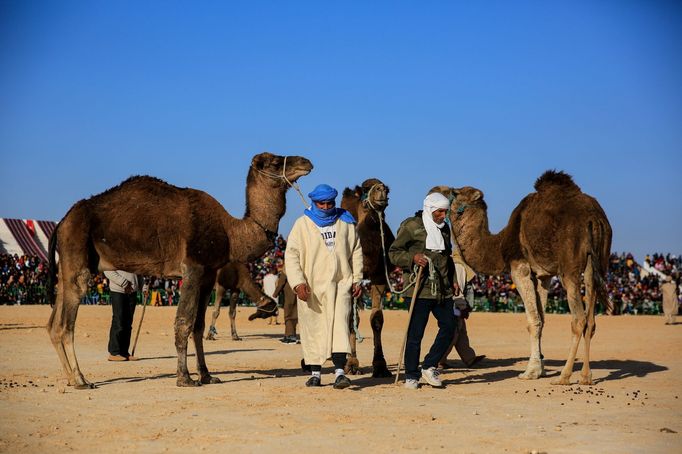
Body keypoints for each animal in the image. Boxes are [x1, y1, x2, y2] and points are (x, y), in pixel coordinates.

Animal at [46, 154, 312, 388]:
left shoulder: (208, 275)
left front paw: (206, 375)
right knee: (66, 323)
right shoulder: (192, 268)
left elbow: (199, 326)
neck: (229, 232)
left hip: (67, 264)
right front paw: (185, 378)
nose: (306, 162)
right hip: (77, 250)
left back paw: (70, 378)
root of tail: (62, 222)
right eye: (276, 162)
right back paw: (81, 380)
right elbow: (183, 322)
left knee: (52, 323)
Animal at [340, 179, 394, 378]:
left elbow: (376, 319)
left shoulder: (379, 277)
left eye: (387, 189)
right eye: (365, 190)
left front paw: (380, 366)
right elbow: (350, 318)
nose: (381, 190)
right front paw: (351, 363)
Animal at [446, 172, 612, 384]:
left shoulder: (519, 267)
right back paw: (585, 376)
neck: (500, 245)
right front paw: (540, 369)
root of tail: (594, 219)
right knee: (591, 320)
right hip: (597, 263)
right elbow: (542, 318)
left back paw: (564, 376)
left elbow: (533, 321)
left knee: (579, 319)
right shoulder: (543, 275)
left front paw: (529, 372)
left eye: (455, 192)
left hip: (570, 269)